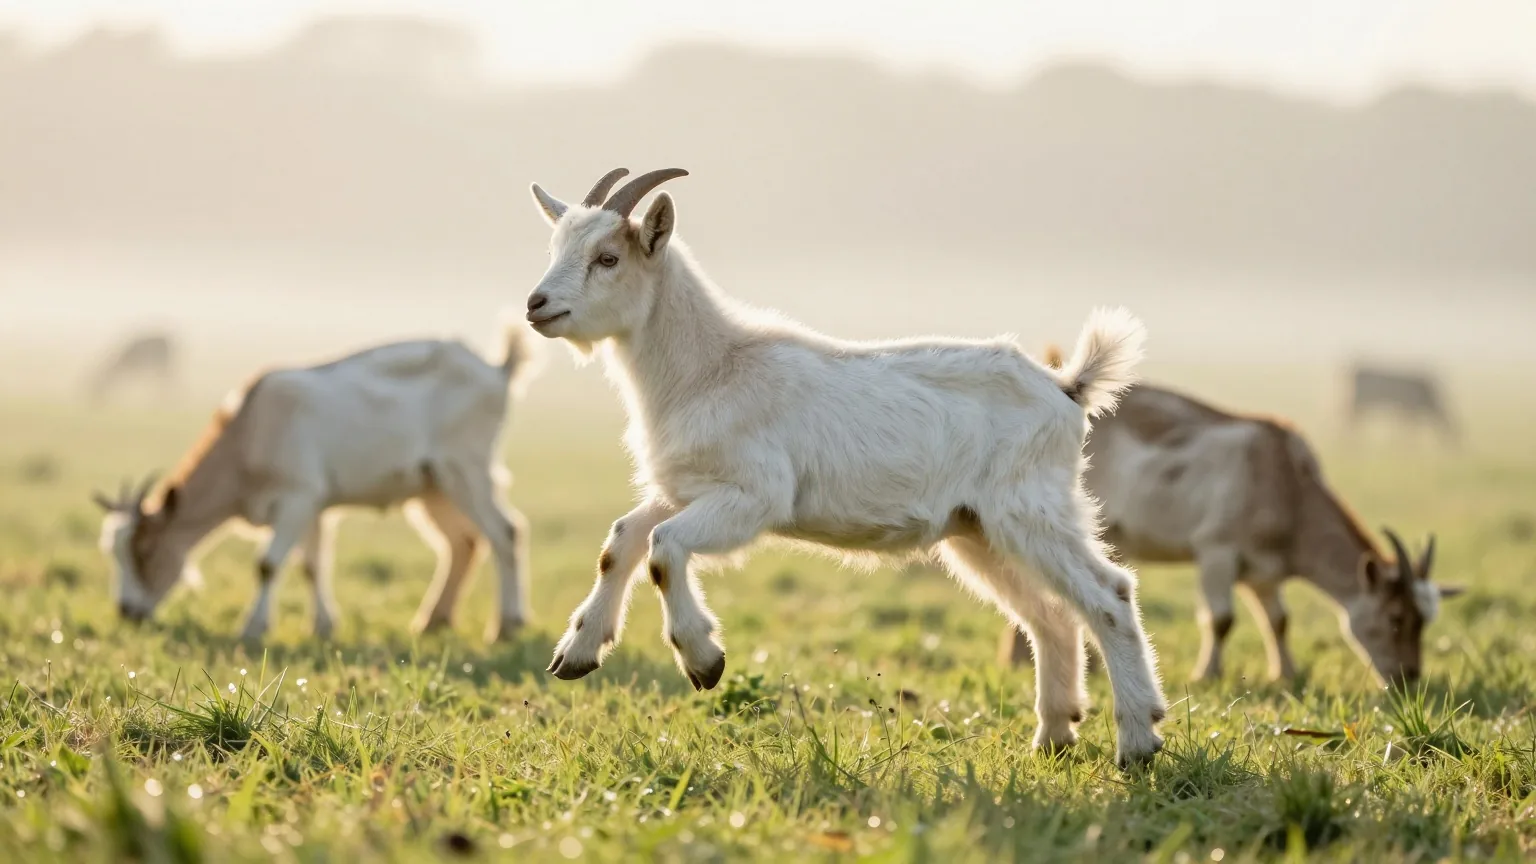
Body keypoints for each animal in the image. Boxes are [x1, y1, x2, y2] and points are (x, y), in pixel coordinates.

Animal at [94, 326, 537, 642]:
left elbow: (268, 564)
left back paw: (505, 625)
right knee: (463, 542)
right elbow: (311, 564)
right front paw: (322, 626)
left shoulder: (296, 496)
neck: (248, 432)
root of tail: (498, 369)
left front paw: (252, 629)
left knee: (504, 531)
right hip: (433, 487)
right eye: (113, 551)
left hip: (465, 467)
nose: (126, 611)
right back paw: (432, 621)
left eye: (146, 549)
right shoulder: (313, 506)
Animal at [522, 167, 1167, 768]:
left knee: (1108, 594)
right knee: (1051, 616)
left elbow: (663, 547)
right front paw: (576, 654)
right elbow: (622, 540)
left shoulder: (754, 496)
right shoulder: (687, 487)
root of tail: (1066, 388)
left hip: (1028, 509)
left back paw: (1138, 741)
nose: (536, 305)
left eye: (608, 258)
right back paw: (1054, 737)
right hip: (978, 530)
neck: (710, 367)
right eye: (555, 248)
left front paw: (704, 660)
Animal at [999, 375, 1465, 687]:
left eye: (1425, 620)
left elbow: (1279, 620)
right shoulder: (1217, 549)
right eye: (1396, 617)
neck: (1287, 486)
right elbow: (1220, 619)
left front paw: (1286, 674)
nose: (1409, 677)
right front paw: (1207, 674)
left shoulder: (1264, 571)